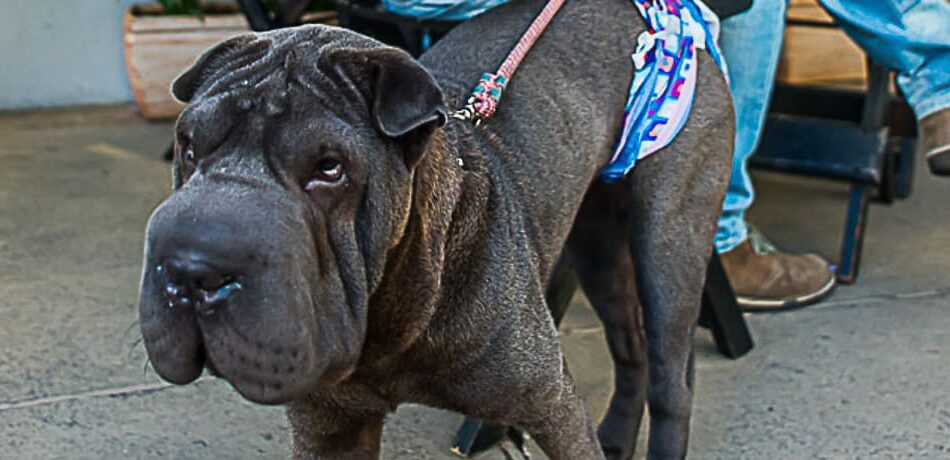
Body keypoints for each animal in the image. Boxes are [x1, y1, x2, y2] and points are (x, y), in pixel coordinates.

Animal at [138, 0, 732, 456]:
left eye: (329, 168)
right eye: (189, 146)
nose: (191, 268)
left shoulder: (551, 404)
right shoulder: (329, 426)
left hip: (669, 241)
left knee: (669, 381)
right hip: (598, 245)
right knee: (629, 347)